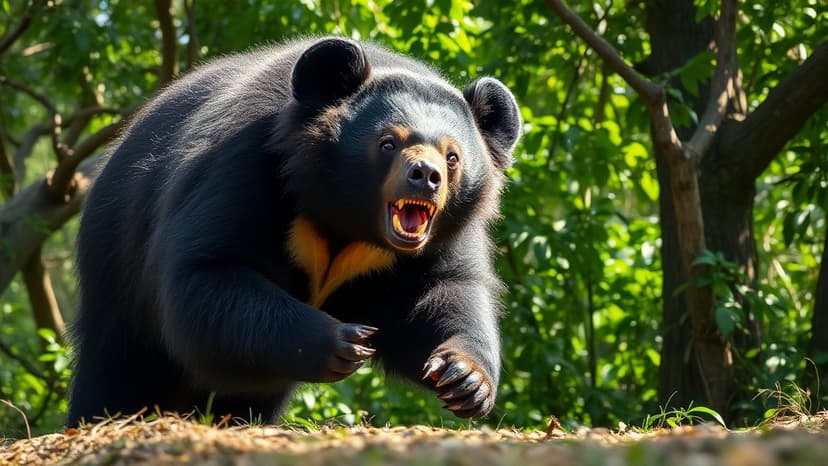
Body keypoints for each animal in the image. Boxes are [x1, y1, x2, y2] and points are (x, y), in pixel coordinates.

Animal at [67, 37, 521, 426]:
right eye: (388, 143)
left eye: (452, 156)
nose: (425, 176)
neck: (347, 218)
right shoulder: (243, 161)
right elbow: (209, 271)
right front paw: (345, 340)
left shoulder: (447, 232)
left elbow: (445, 291)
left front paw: (465, 379)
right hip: (115, 263)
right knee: (119, 366)